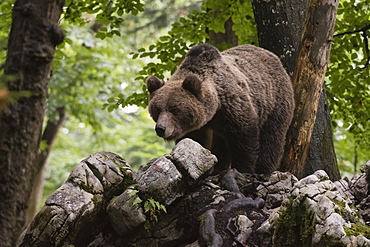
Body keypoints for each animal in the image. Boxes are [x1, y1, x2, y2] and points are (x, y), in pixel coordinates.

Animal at [146, 44, 294, 176]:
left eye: (175, 109)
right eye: (157, 109)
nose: (161, 128)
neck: (215, 106)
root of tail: (274, 57)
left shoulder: (233, 106)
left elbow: (244, 137)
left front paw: (243, 169)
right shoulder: (201, 123)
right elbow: (194, 140)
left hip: (275, 100)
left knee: (272, 135)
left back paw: (264, 168)